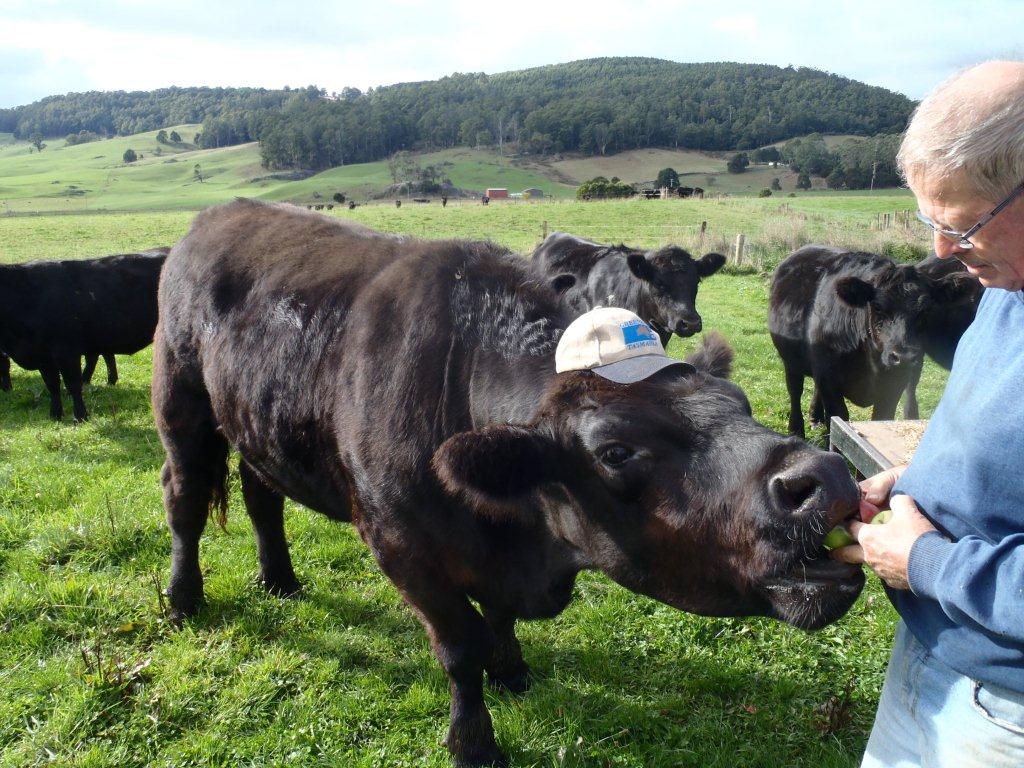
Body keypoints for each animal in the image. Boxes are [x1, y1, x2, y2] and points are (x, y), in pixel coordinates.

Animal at [0, 249, 167, 421]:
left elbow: (73, 384)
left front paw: (80, 416)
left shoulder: (67, 351)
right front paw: (55, 415)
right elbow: (52, 385)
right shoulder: (43, 357)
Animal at [770, 246, 974, 438]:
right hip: (790, 361)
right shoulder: (829, 379)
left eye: (926, 310)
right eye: (877, 306)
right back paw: (796, 430)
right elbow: (838, 419)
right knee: (795, 391)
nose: (905, 356)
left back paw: (815, 418)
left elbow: (881, 418)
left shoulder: (894, 385)